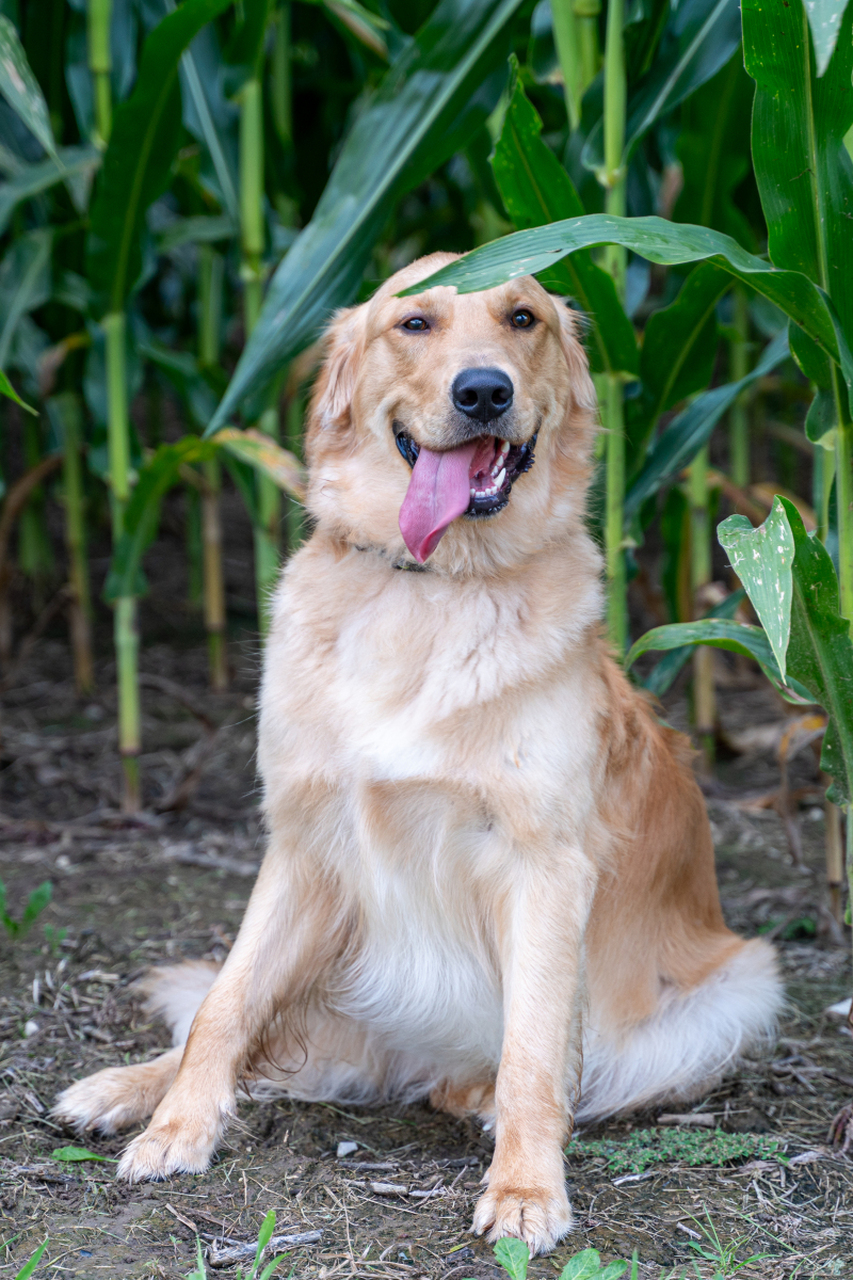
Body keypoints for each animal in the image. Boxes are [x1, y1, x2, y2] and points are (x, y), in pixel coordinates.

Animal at [56, 254, 778, 1254]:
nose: (483, 391)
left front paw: (525, 1189)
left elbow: (531, 1051)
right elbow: (224, 1006)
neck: (434, 585)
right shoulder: (303, 844)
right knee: (238, 1020)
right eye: (415, 323)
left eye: (522, 318)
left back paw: (471, 1095)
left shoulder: (544, 865)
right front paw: (175, 1129)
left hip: (737, 986)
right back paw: (120, 1087)